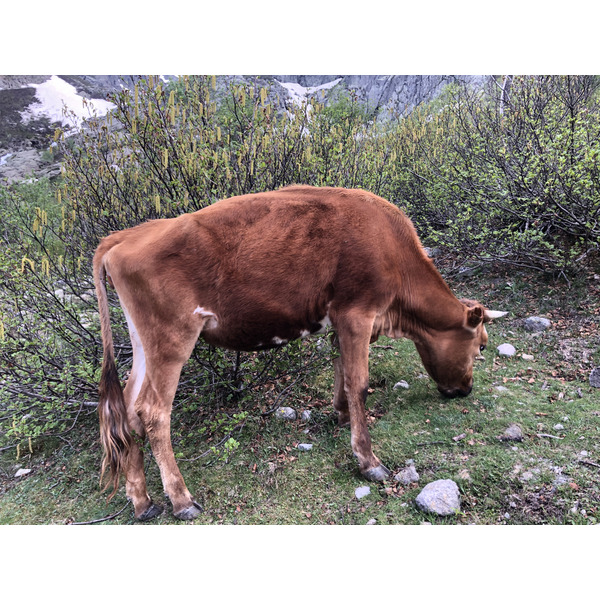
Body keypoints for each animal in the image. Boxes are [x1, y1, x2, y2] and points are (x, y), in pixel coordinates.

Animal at [92, 184, 506, 520]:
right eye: (481, 346)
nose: (465, 390)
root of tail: (124, 236)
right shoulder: (358, 312)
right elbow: (359, 382)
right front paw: (368, 460)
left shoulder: (341, 319)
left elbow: (341, 369)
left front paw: (341, 414)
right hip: (172, 339)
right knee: (152, 412)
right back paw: (181, 501)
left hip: (143, 343)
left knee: (126, 410)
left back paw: (143, 501)